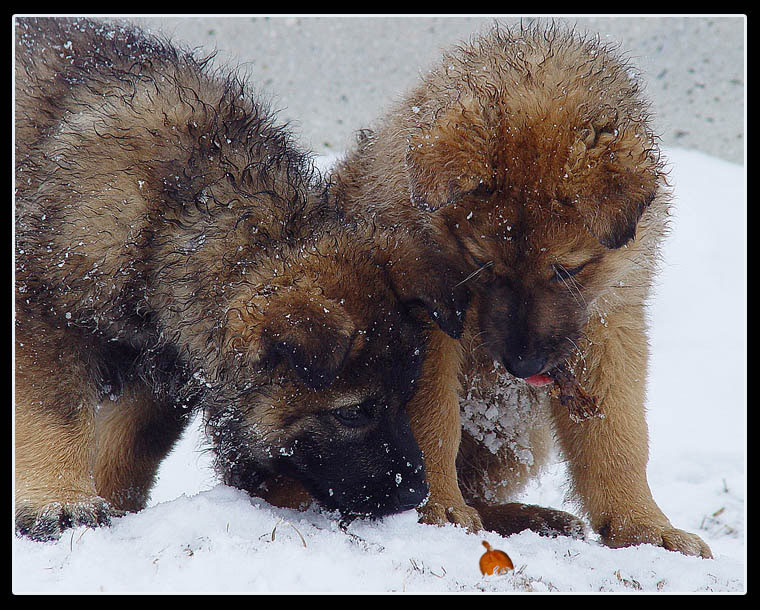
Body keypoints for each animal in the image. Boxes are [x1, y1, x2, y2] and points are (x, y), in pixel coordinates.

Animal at [13, 17, 464, 536]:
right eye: (352, 413)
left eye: (406, 397)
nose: (417, 494)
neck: (175, 215)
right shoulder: (44, 318)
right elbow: (57, 414)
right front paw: (60, 501)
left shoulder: (164, 371)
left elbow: (130, 446)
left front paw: (118, 508)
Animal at [332, 22, 712, 556]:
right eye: (481, 262)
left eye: (567, 271)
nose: (522, 366)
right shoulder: (425, 323)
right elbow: (431, 419)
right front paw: (436, 510)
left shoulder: (607, 321)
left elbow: (617, 434)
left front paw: (642, 526)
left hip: (518, 431)